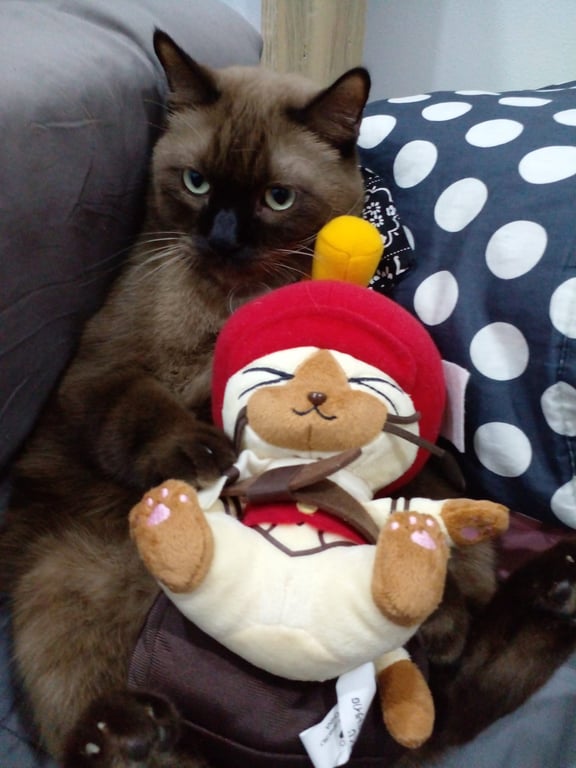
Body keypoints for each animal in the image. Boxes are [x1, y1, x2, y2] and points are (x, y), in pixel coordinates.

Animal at [0, 31, 371, 767]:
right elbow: (152, 412)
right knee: (82, 731)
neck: (222, 302)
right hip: (62, 585)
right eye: (196, 184)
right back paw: (133, 728)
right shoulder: (104, 373)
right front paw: (205, 453)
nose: (221, 240)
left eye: (277, 198)